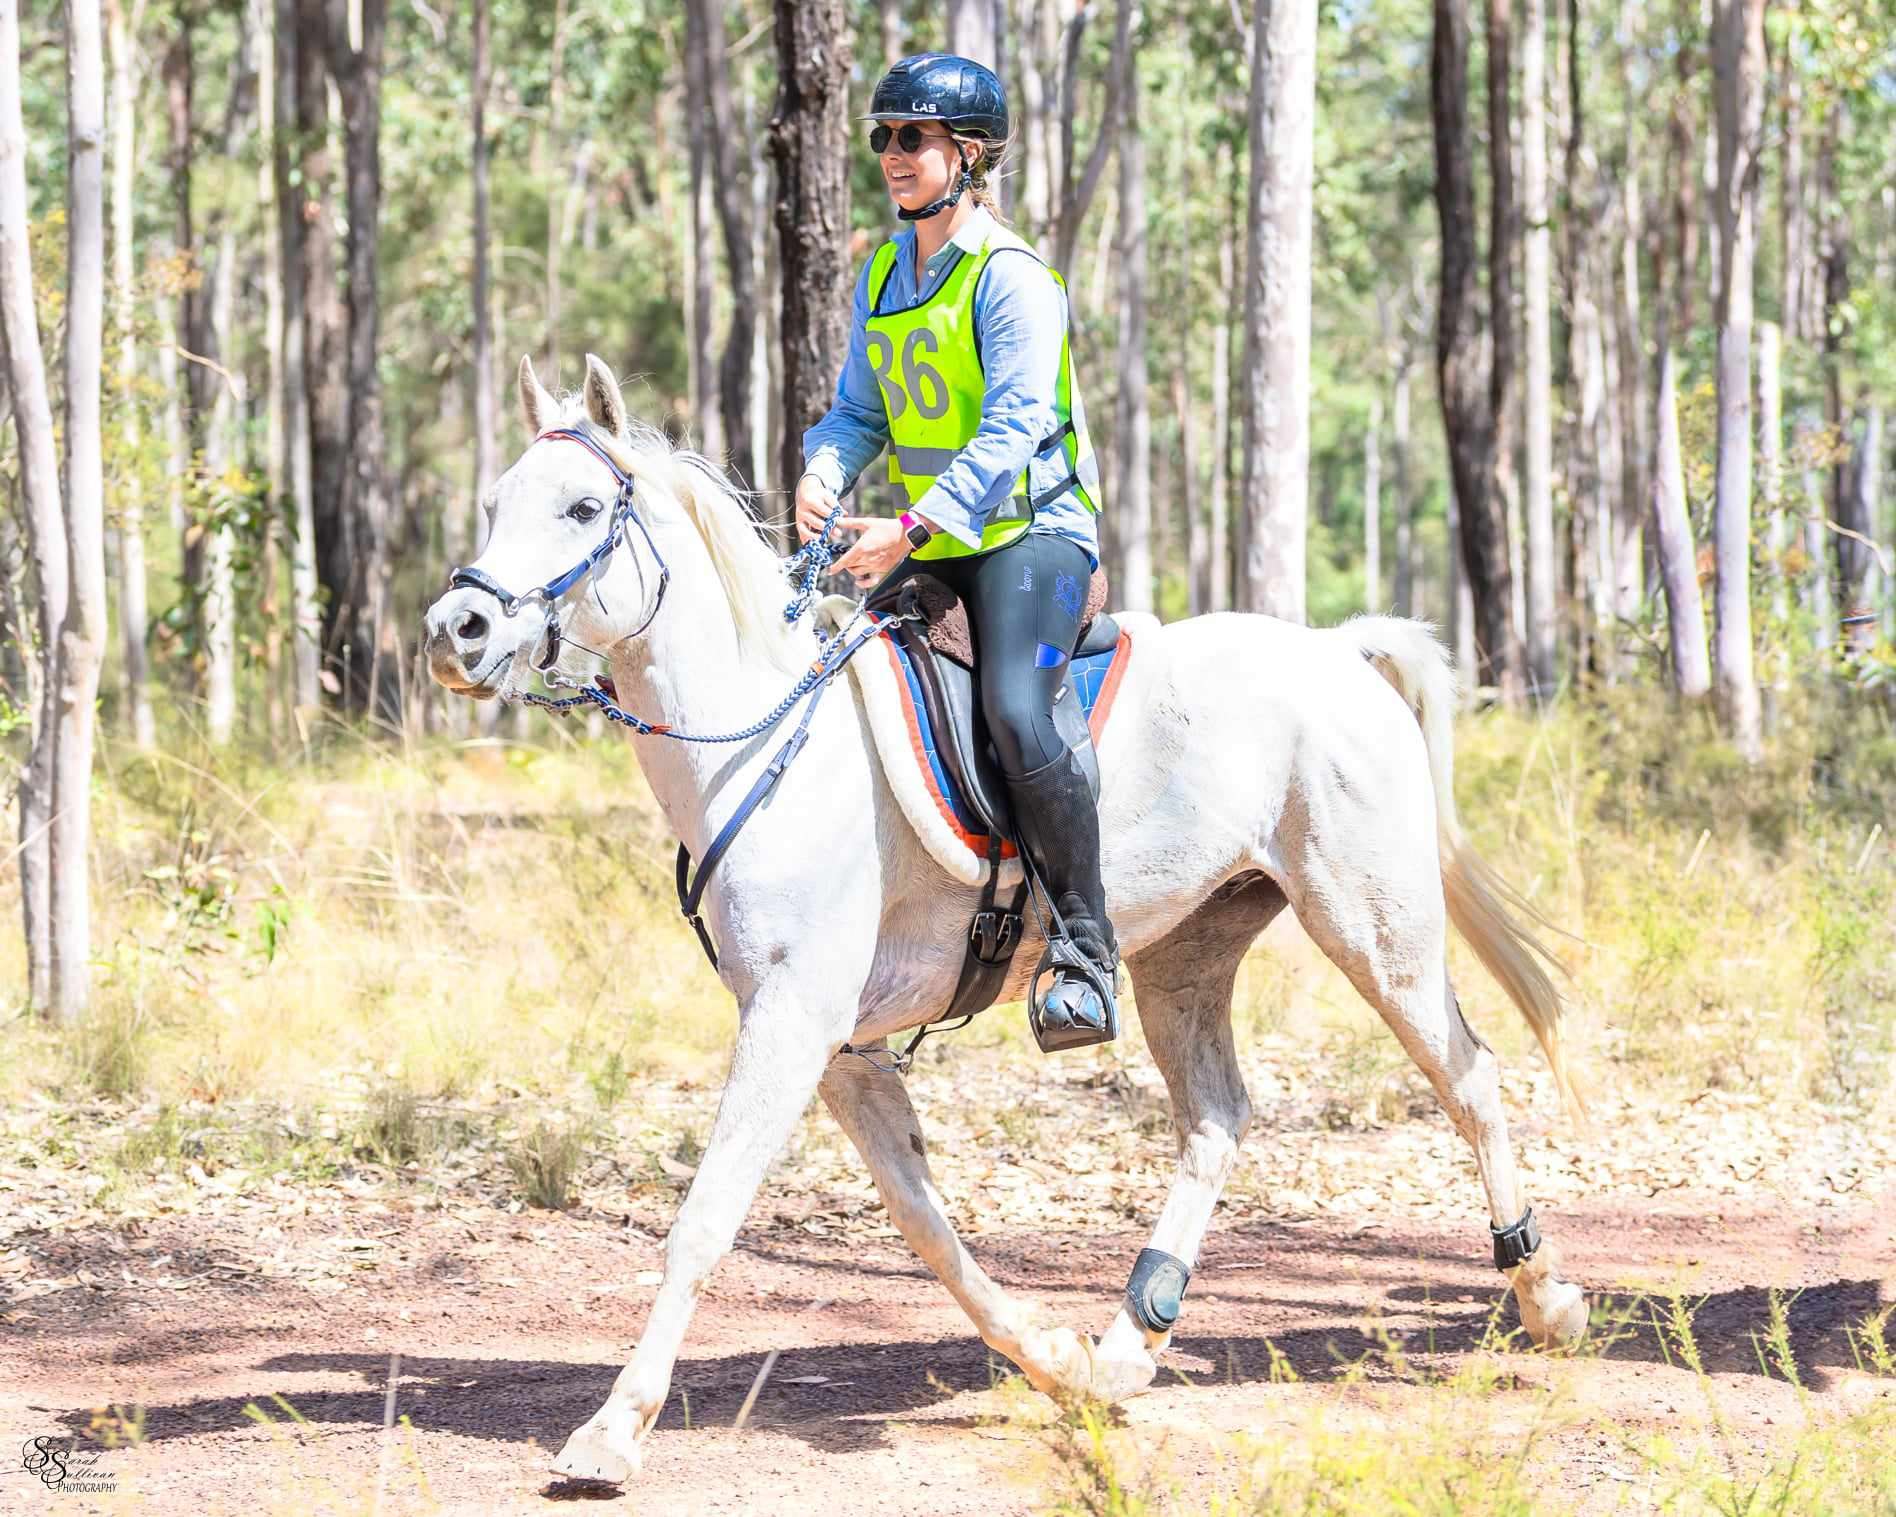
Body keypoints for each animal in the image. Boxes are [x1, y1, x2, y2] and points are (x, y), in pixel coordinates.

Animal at [426, 352, 1585, 1479]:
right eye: (494, 503)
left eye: (583, 507)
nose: (455, 628)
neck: (760, 741)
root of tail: (1340, 650)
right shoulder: (840, 1046)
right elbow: (927, 1225)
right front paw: (1059, 1362)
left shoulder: (792, 1022)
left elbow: (706, 1219)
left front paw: (611, 1430)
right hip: (1186, 951)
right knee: (1217, 1117)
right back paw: (1129, 1341)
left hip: (1375, 929)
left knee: (1469, 1076)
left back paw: (1547, 1300)